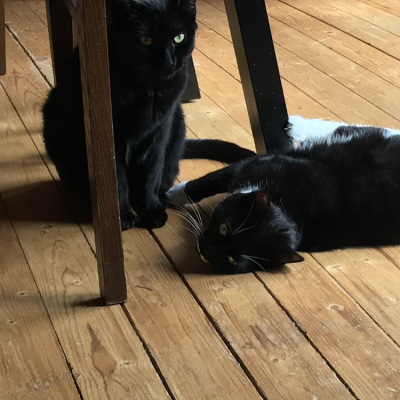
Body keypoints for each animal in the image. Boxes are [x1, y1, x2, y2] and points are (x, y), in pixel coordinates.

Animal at [42, 0, 254, 231]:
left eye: (178, 37)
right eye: (145, 40)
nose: (168, 61)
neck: (148, 89)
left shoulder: (159, 133)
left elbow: (150, 174)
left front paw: (151, 211)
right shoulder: (112, 141)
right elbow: (117, 181)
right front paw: (121, 217)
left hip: (177, 125)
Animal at [167, 116, 400, 273]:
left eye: (233, 260)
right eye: (224, 229)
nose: (206, 251)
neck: (291, 207)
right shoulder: (254, 164)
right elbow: (204, 183)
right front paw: (170, 195)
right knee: (346, 127)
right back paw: (296, 126)